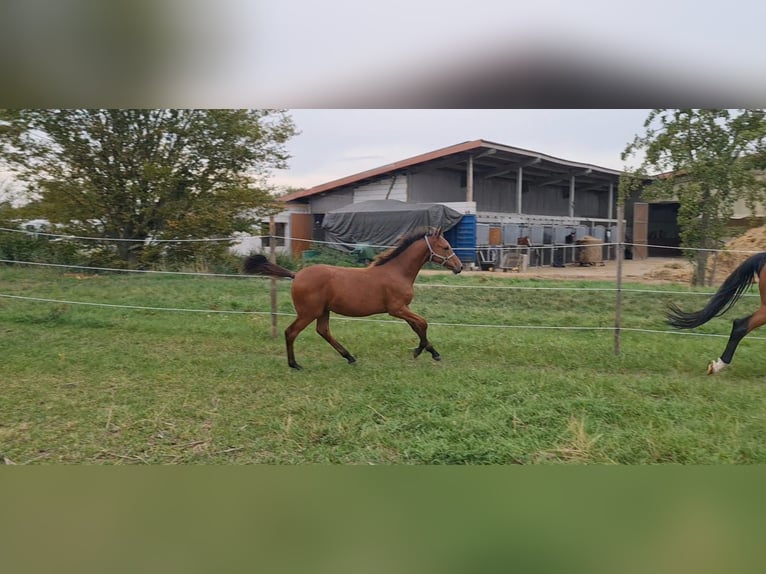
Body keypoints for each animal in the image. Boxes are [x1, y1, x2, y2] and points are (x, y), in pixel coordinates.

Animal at [243, 227, 464, 372]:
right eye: (445, 247)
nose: (459, 267)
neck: (397, 272)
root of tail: (296, 275)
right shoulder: (397, 309)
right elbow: (423, 323)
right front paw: (424, 352)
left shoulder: (404, 309)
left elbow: (417, 327)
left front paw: (428, 351)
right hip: (308, 312)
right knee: (291, 332)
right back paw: (295, 364)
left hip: (323, 311)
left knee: (323, 331)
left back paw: (349, 357)